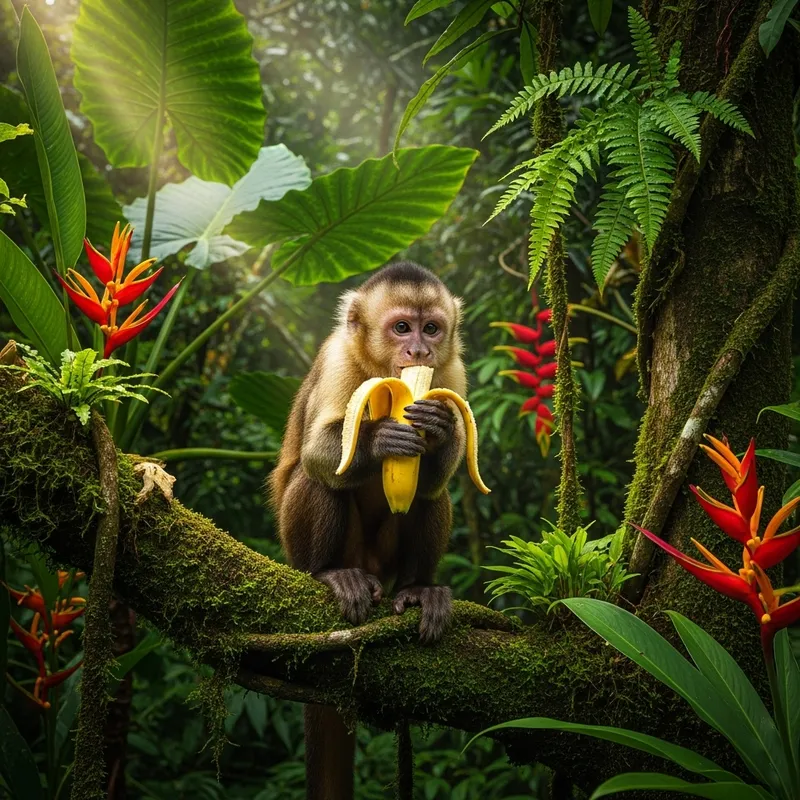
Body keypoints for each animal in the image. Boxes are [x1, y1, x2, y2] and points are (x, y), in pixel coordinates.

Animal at [268, 261, 467, 800]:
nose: (418, 352)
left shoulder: (452, 371)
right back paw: (331, 573)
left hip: (386, 557)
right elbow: (321, 453)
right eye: (401, 327)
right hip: (314, 548)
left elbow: (436, 478)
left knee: (430, 495)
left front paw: (440, 426)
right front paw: (380, 439)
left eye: (431, 329)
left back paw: (419, 589)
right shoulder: (336, 357)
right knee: (318, 478)